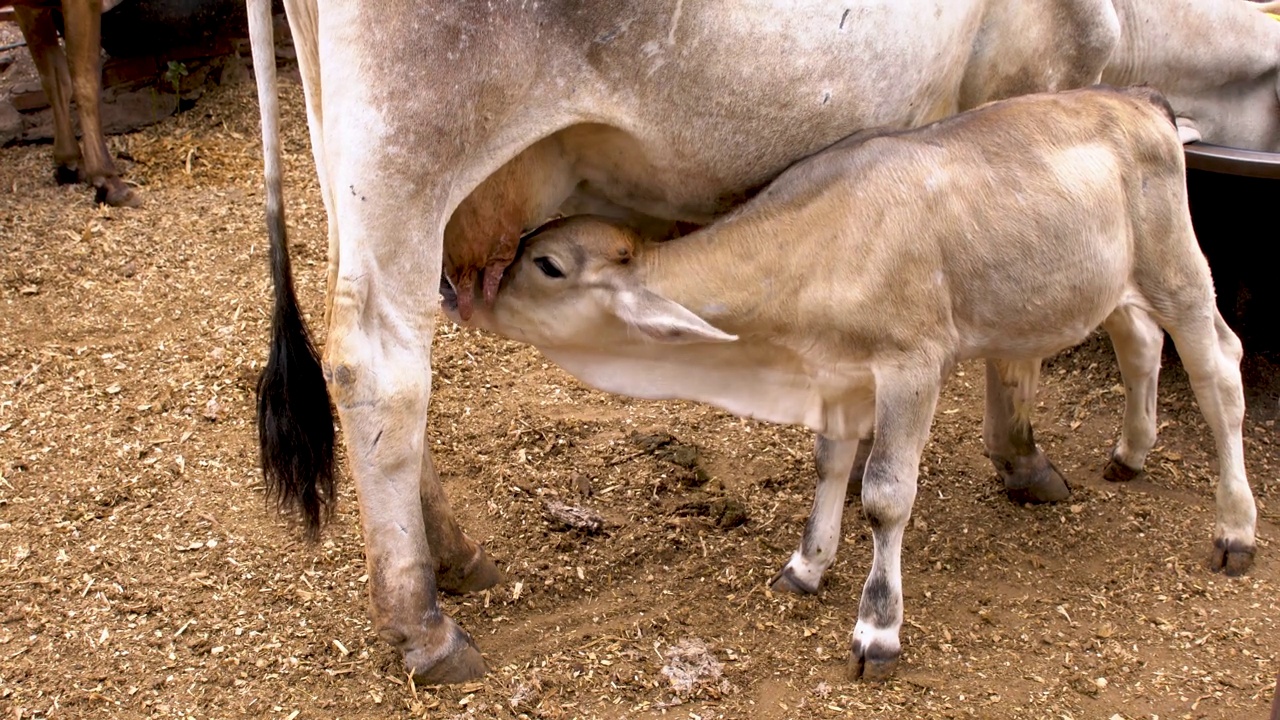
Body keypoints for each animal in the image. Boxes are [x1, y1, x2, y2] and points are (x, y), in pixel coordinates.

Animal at [453, 85, 1259, 676]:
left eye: (547, 264)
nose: (455, 289)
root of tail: (1138, 97)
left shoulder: (912, 362)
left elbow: (884, 494)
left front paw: (876, 629)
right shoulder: (839, 374)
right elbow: (830, 464)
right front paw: (806, 566)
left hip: (1178, 267)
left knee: (1219, 369)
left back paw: (1236, 528)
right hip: (1109, 284)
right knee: (1139, 341)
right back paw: (1130, 453)